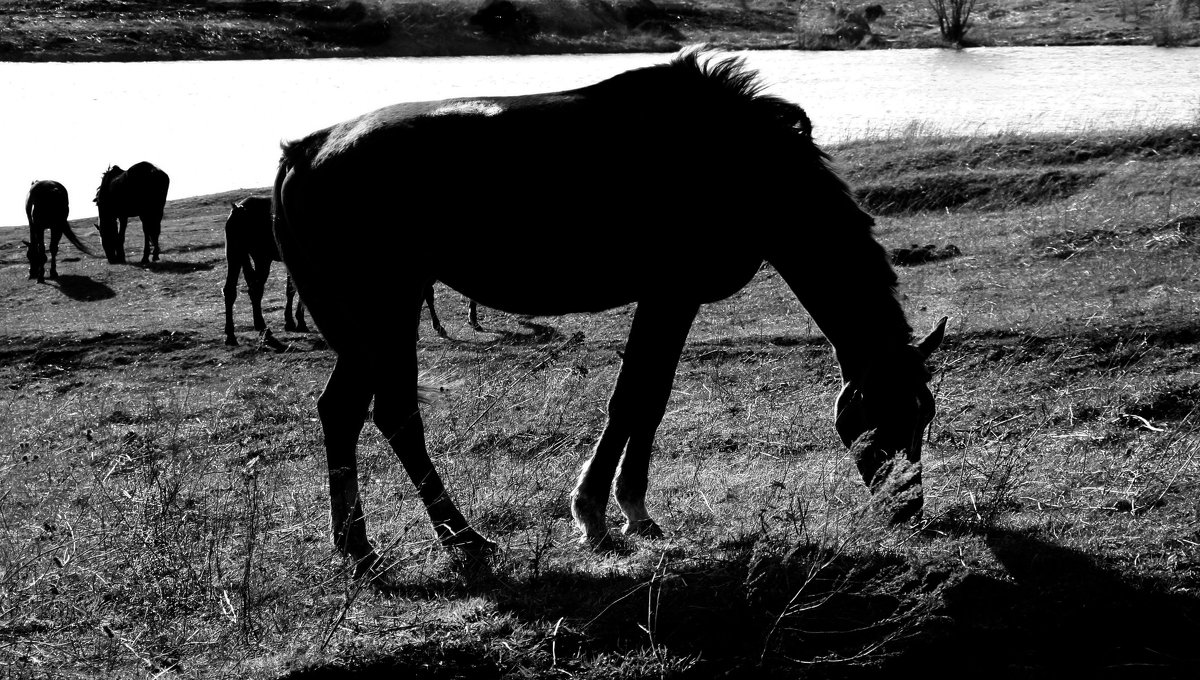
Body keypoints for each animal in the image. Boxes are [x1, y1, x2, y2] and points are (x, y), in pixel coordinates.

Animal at [224, 195, 309, 345]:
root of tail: (239, 210)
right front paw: (299, 321)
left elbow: (291, 289)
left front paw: (291, 321)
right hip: (261, 258)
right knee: (255, 290)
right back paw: (262, 327)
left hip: (234, 254)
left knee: (230, 290)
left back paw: (231, 335)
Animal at [272, 50, 945, 578]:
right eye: (887, 416)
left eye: (925, 415)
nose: (909, 511)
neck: (739, 162)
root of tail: (307, 150)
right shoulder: (669, 293)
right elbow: (633, 397)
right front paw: (595, 514)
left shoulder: (674, 299)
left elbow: (652, 396)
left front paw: (634, 511)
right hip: (386, 305)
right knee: (392, 414)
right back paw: (460, 538)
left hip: (371, 320)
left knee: (345, 412)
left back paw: (362, 549)